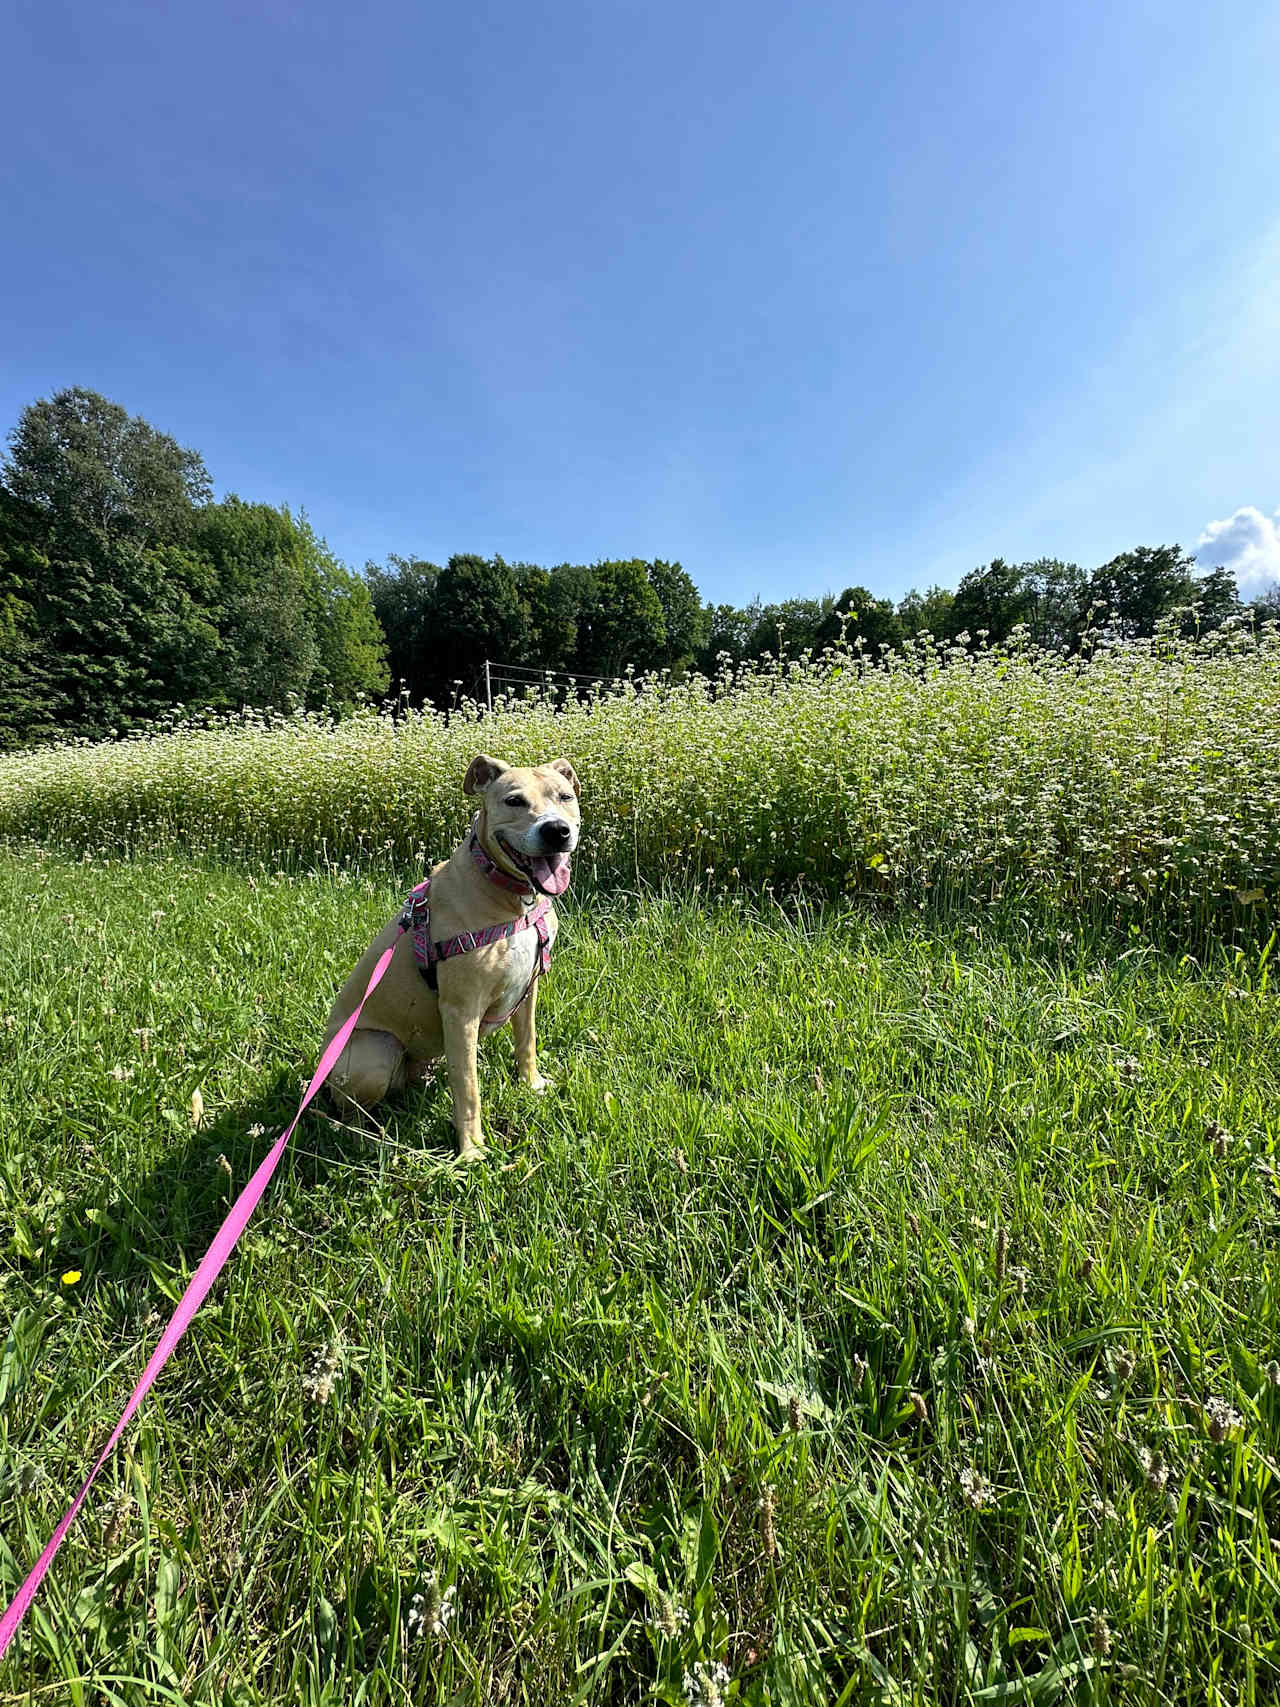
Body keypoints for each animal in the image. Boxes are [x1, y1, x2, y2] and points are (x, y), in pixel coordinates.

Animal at [322, 757, 583, 1160]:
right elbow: (468, 1089)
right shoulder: (461, 1011)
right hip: (375, 1051)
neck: (513, 899)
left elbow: (527, 1042)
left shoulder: (528, 989)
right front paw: (472, 1151)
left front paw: (532, 1084)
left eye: (565, 796)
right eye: (514, 801)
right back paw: (367, 1140)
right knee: (349, 1112)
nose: (557, 830)